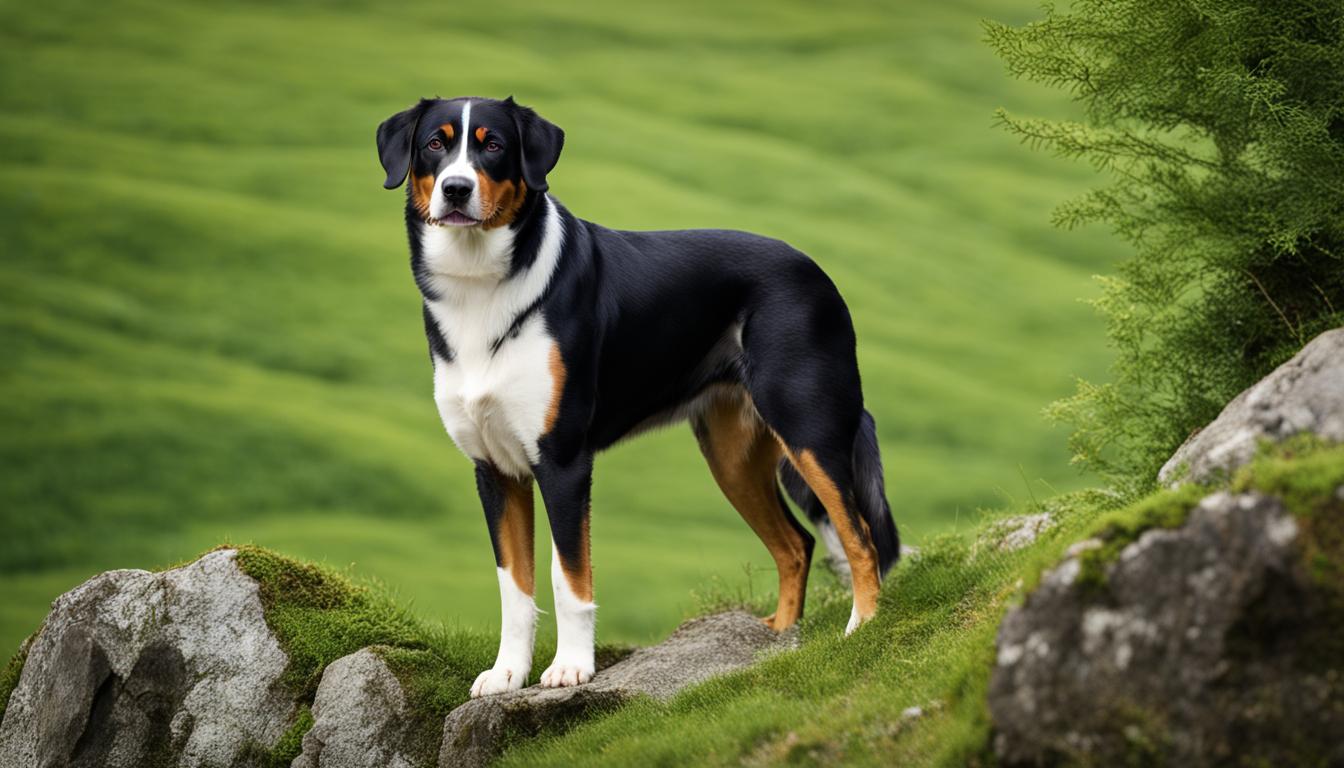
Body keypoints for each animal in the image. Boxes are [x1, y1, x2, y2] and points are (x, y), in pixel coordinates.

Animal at [376, 96, 903, 699]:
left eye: (494, 146)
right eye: (434, 144)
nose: (457, 188)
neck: (480, 288)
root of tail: (816, 270)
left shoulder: (562, 460)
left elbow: (568, 576)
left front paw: (570, 669)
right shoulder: (494, 468)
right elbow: (514, 586)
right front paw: (507, 673)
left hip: (809, 429)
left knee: (860, 536)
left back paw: (861, 628)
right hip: (732, 458)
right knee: (796, 545)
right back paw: (776, 641)